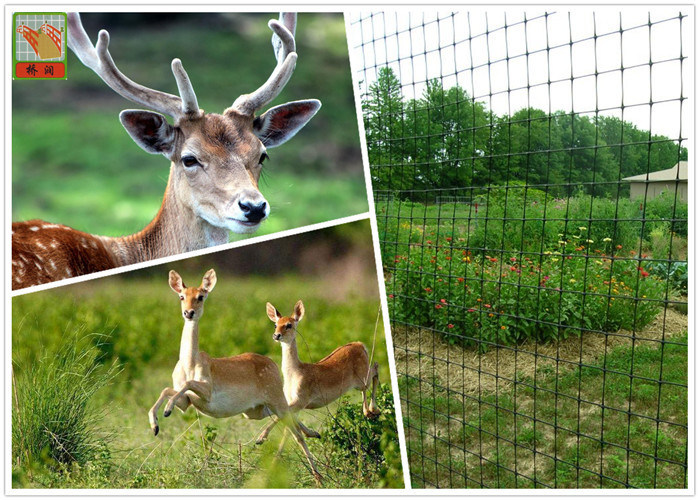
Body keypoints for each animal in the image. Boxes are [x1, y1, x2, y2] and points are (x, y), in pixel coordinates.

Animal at [148, 269, 322, 483]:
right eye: (182, 296)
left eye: (201, 296)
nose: (189, 312)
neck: (190, 363)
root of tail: (272, 364)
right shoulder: (187, 401)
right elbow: (167, 390)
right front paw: (155, 425)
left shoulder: (206, 391)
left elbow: (186, 383)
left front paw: (166, 411)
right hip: (256, 410)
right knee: (289, 417)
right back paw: (311, 434)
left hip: (275, 400)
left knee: (296, 433)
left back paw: (317, 476)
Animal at [255, 300, 381, 444]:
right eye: (275, 324)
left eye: (289, 325)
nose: (276, 335)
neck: (294, 374)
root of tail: (361, 345)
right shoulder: (291, 400)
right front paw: (314, 433)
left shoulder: (302, 399)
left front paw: (260, 438)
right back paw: (372, 412)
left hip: (362, 377)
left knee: (375, 369)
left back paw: (372, 411)